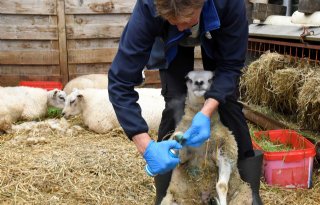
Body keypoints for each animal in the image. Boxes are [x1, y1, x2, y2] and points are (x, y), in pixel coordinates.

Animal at [161, 71, 251, 205]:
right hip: (170, 198)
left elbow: (222, 186)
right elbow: (182, 154)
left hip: (244, 192)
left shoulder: (225, 150)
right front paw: (180, 138)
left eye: (212, 77)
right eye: (188, 78)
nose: (199, 82)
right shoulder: (183, 158)